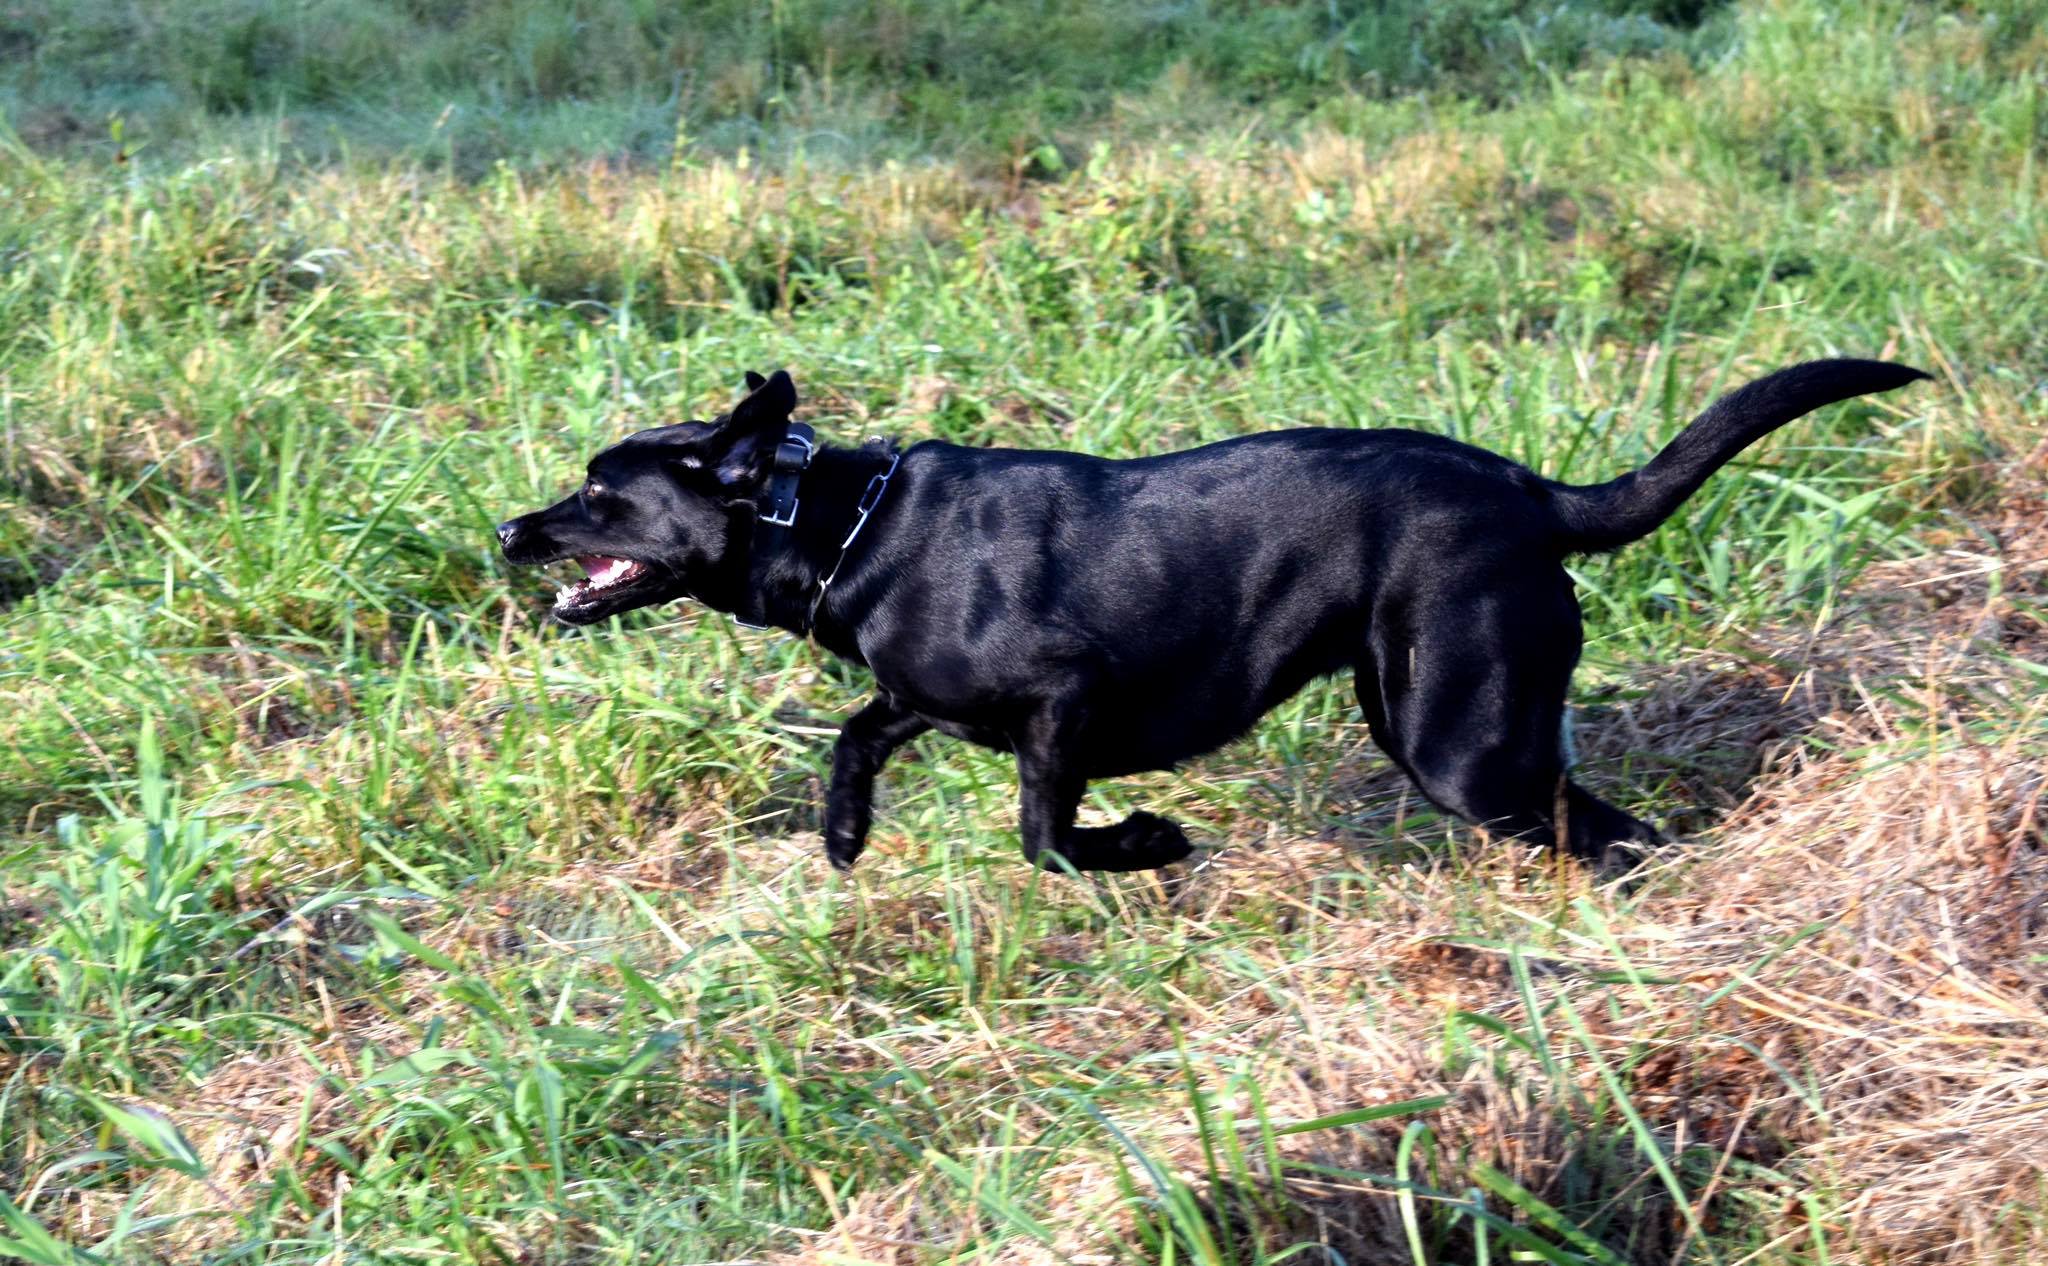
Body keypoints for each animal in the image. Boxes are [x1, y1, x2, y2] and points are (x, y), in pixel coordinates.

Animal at [495, 356, 1916, 868]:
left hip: (1458, 743)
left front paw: (1149, 840)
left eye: (598, 495)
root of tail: (1531, 493)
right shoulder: (923, 696)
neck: (844, 520)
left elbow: (1044, 837)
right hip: (1427, 714)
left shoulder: (1058, 701)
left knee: (1611, 833)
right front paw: (842, 832)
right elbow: (860, 731)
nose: (509, 530)